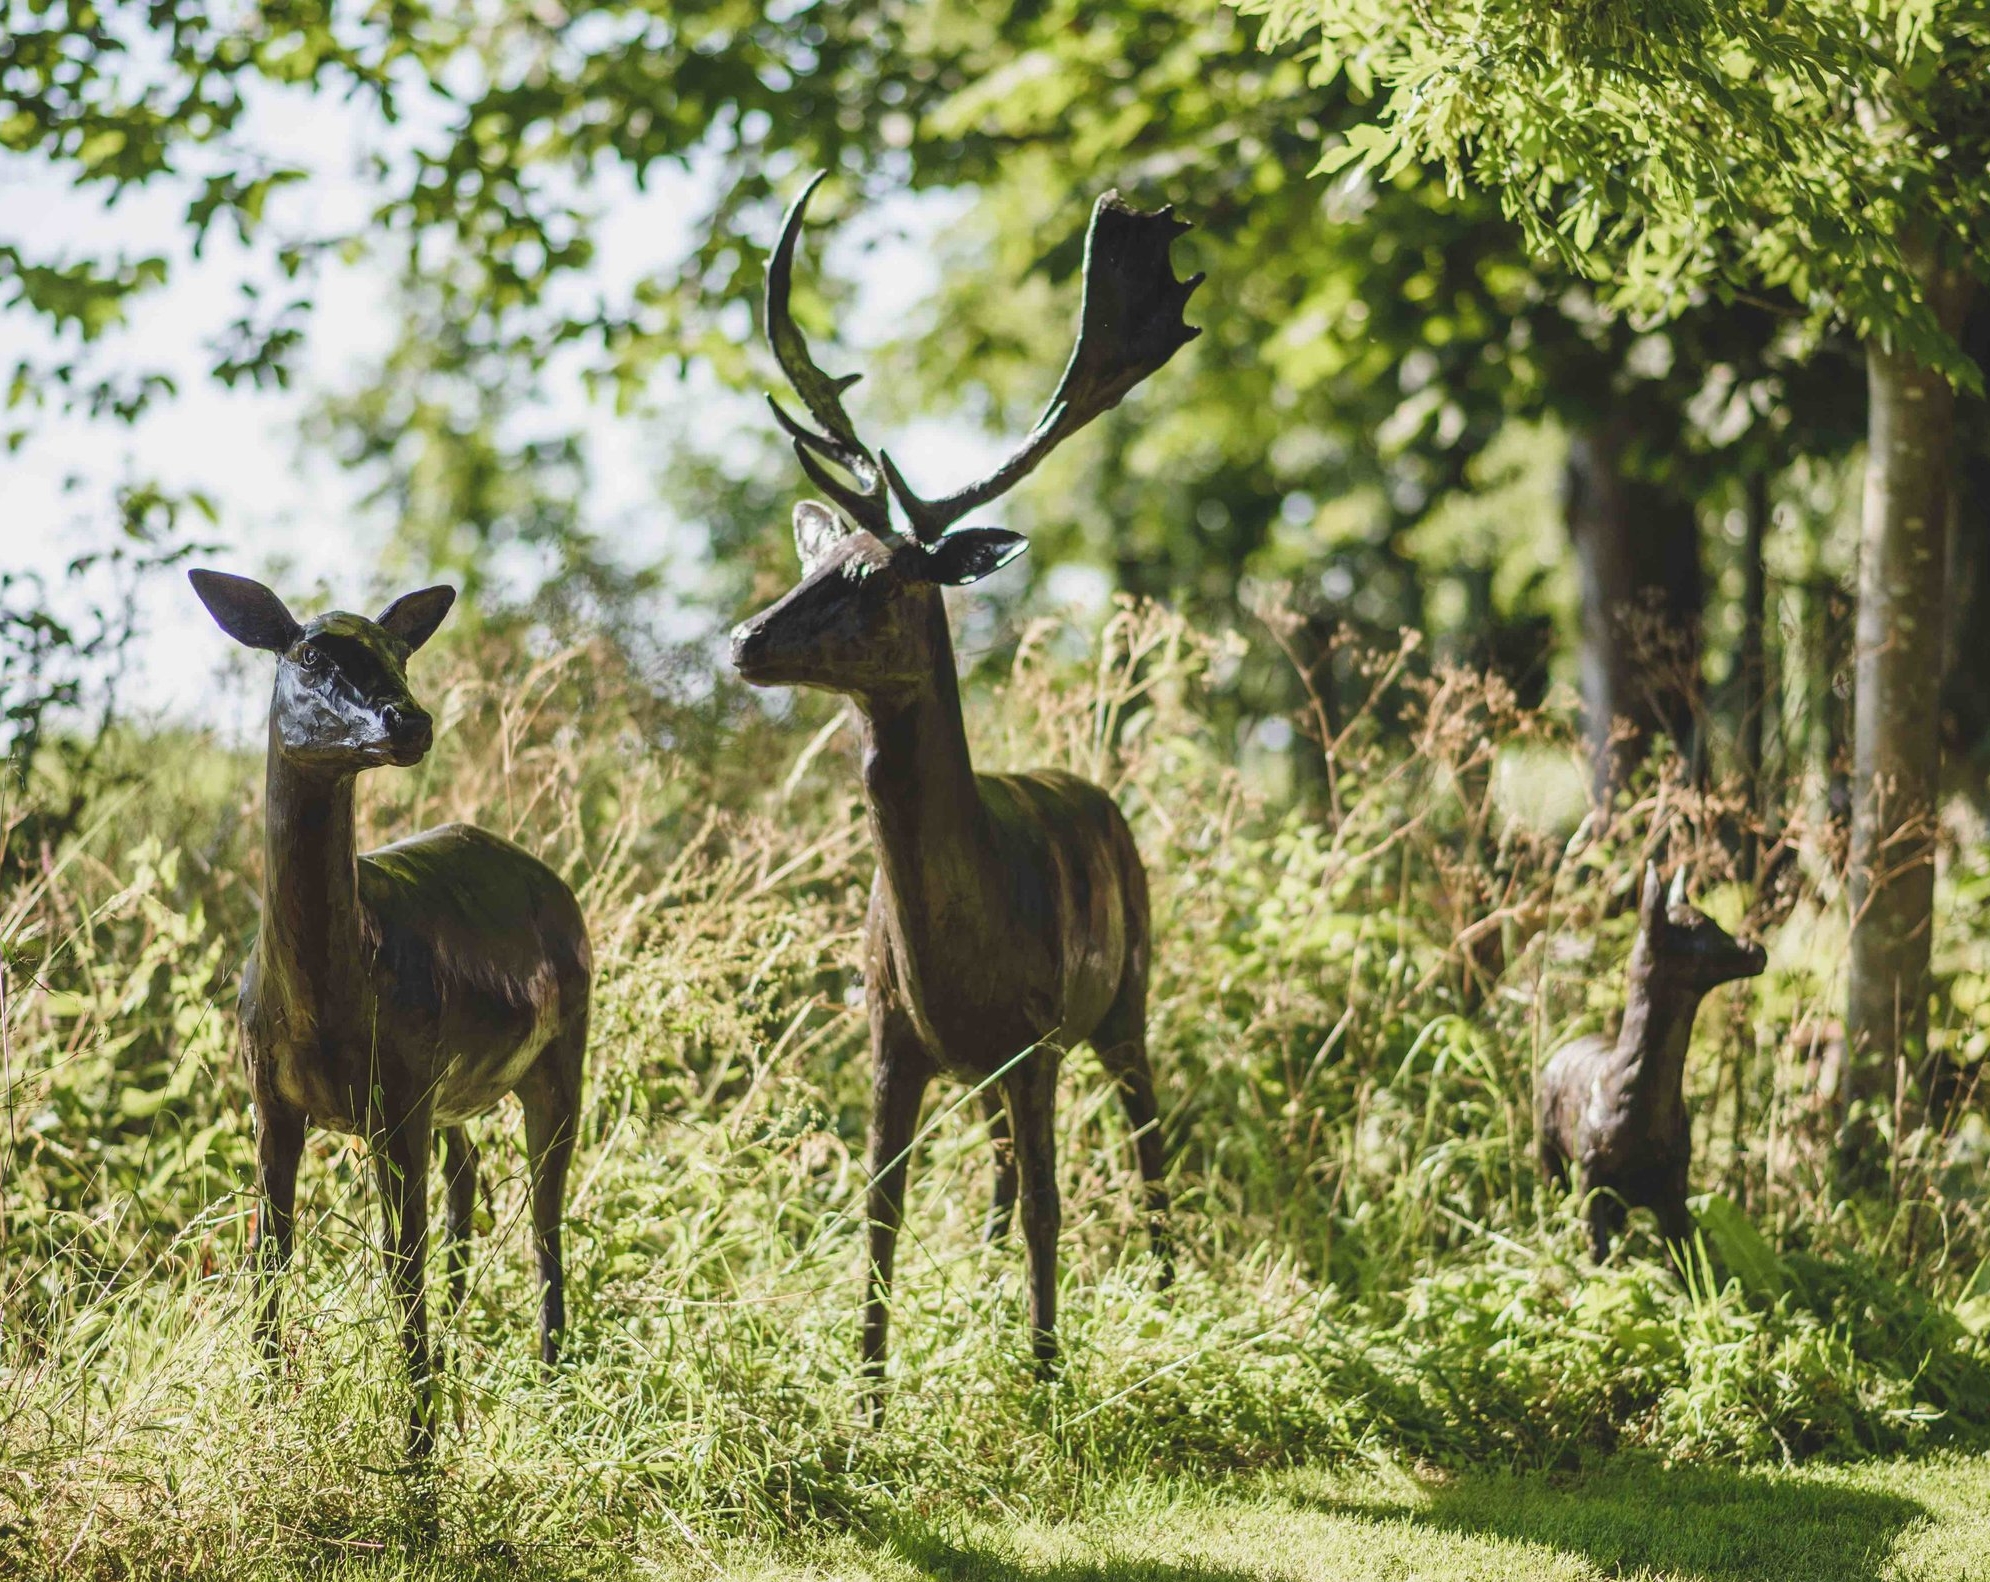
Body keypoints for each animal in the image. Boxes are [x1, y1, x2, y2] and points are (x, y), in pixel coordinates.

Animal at [189, 570, 590, 1458]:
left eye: (398, 653)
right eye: (308, 653)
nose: (409, 720)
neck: (326, 1000)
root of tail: (557, 888)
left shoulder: (395, 1095)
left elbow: (399, 1266)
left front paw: (416, 1457)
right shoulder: (271, 1095)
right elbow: (271, 1249)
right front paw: (268, 1407)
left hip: (560, 1055)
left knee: (545, 1218)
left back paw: (550, 1388)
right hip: (452, 1090)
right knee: (471, 1176)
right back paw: (473, 1349)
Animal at [728, 174, 1202, 1410]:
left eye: (882, 576)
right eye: (810, 557)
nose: (745, 639)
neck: (960, 940)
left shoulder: (1037, 1030)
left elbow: (1052, 1208)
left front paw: (1046, 1376)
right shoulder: (892, 1034)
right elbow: (878, 1215)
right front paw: (866, 1394)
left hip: (1125, 994)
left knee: (1144, 1143)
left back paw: (1170, 1292)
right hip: (991, 1065)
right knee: (994, 1171)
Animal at [1538, 862, 1765, 1262]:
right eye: (1695, 929)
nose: (1757, 950)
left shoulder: (1674, 1184)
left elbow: (1685, 1256)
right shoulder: (1591, 1171)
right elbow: (1597, 1248)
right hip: (1547, 1143)